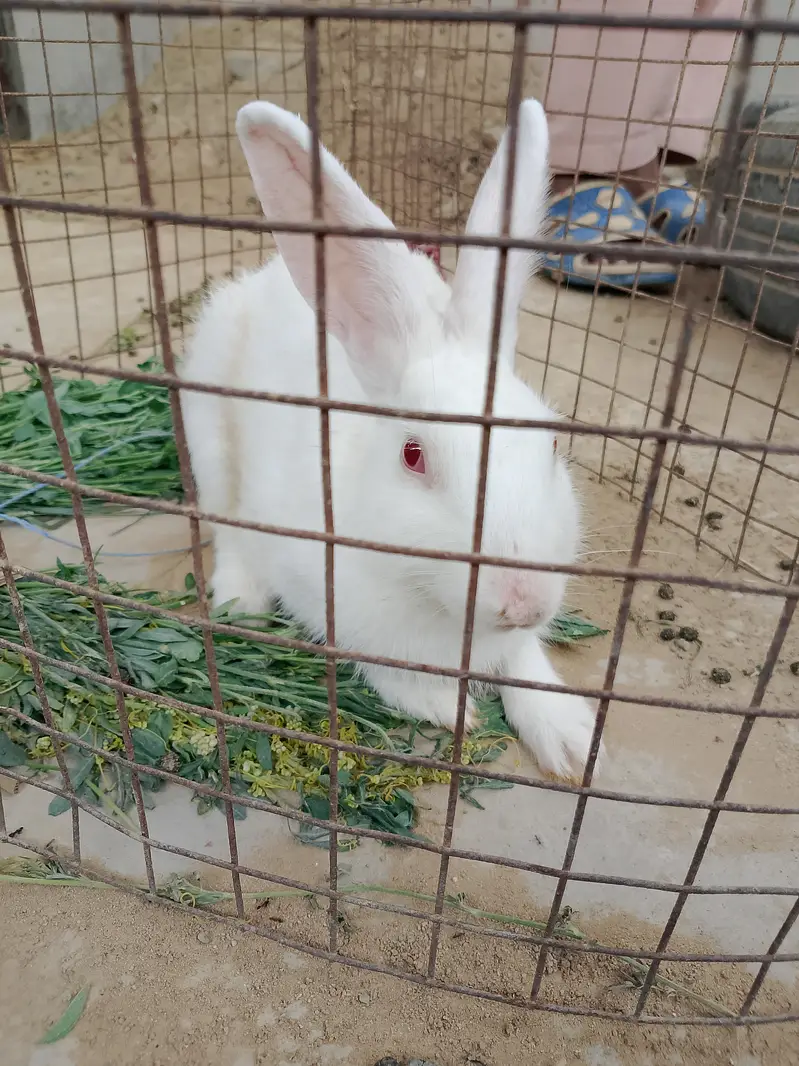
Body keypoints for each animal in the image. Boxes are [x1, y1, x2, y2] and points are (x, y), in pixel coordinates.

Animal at [179, 98, 602, 783]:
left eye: (553, 446)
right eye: (413, 455)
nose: (523, 601)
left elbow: (526, 664)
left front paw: (571, 740)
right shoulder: (328, 598)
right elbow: (377, 664)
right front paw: (445, 708)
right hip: (211, 437)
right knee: (229, 531)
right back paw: (241, 603)